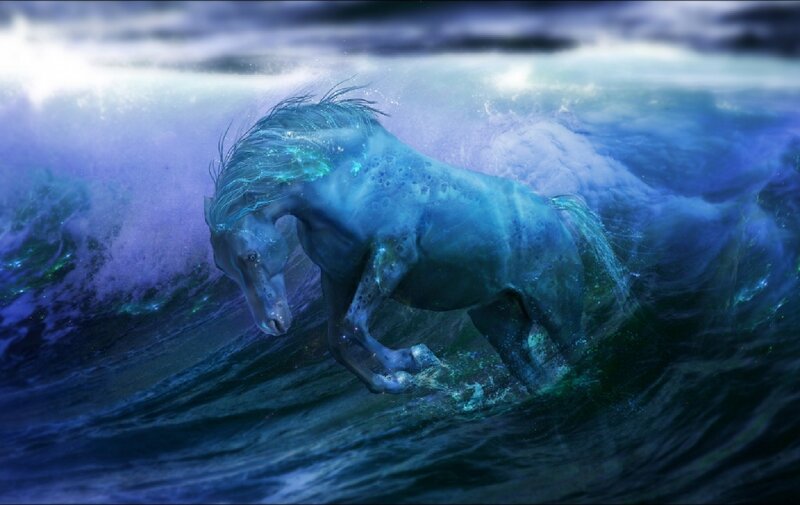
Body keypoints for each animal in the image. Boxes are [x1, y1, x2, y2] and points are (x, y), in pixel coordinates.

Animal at [204, 86, 629, 394]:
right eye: (225, 269)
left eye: (250, 256)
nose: (273, 325)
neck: (345, 183)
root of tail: (554, 208)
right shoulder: (337, 276)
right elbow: (336, 340)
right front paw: (392, 382)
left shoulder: (392, 257)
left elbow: (353, 325)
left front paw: (413, 360)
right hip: (499, 319)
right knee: (526, 367)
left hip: (556, 308)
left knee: (574, 347)